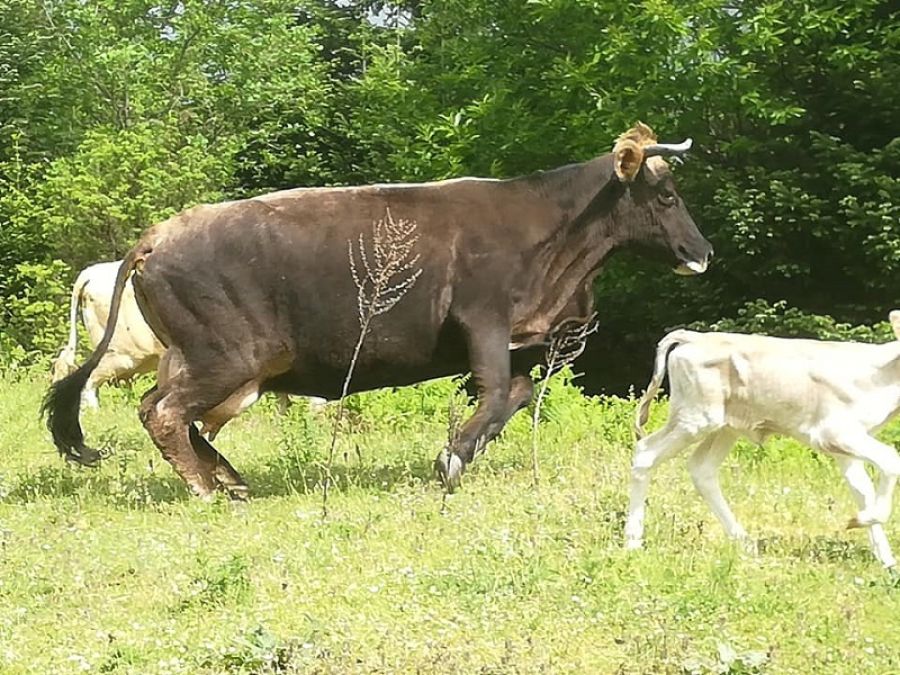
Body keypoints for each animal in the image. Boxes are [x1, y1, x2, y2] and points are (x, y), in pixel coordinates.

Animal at [45, 124, 712, 500]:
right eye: (666, 195)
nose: (701, 252)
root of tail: (157, 234)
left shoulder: (514, 342)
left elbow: (515, 394)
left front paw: (459, 452)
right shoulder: (483, 322)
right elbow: (498, 391)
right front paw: (450, 461)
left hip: (202, 362)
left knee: (166, 410)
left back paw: (229, 480)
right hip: (225, 357)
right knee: (164, 414)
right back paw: (206, 490)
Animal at [628, 312, 900, 572]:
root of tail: (695, 337)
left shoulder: (847, 446)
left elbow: (863, 491)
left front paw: (886, 560)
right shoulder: (834, 432)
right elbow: (891, 460)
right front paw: (862, 520)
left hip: (725, 426)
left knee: (701, 469)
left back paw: (743, 541)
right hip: (695, 417)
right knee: (645, 453)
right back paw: (633, 541)